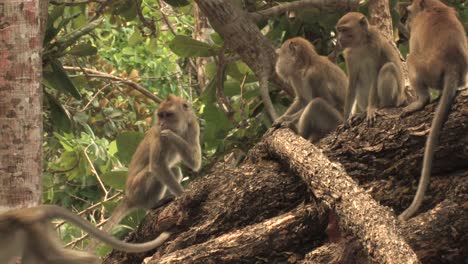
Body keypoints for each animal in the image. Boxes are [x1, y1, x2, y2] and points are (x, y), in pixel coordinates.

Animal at [88, 94, 202, 250]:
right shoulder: (158, 135)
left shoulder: (193, 126)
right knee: (153, 171)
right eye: (161, 115)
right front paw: (183, 195)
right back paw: (152, 205)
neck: (180, 127)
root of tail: (129, 195)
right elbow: (157, 165)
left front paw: (171, 135)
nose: (162, 124)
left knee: (175, 170)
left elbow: (195, 162)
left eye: (168, 115)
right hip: (138, 189)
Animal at [396, 0, 466, 221]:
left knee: (411, 58)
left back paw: (420, 101)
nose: (403, 25)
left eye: (405, 17)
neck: (429, 5)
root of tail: (453, 64)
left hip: (427, 68)